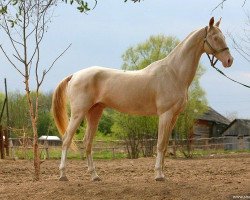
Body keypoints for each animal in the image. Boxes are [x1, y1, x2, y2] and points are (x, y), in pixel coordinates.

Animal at [52, 17, 234, 181]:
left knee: (87, 142)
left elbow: (165, 145)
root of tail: (75, 75)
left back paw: (94, 176)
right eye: (215, 37)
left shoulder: (174, 116)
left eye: (223, 36)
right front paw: (158, 175)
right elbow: (160, 144)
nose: (229, 60)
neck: (173, 73)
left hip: (94, 112)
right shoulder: (165, 114)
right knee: (67, 139)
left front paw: (163, 173)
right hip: (79, 112)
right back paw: (63, 175)